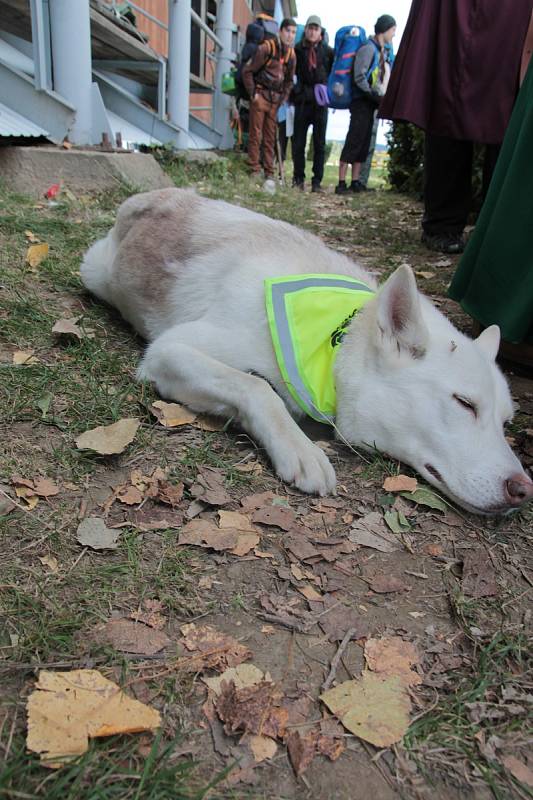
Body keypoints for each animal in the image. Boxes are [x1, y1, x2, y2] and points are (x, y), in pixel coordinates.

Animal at [80, 188, 532, 516]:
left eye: (506, 423)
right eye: (464, 403)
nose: (523, 489)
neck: (337, 341)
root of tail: (153, 195)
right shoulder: (168, 350)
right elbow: (257, 388)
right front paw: (298, 447)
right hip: (95, 273)